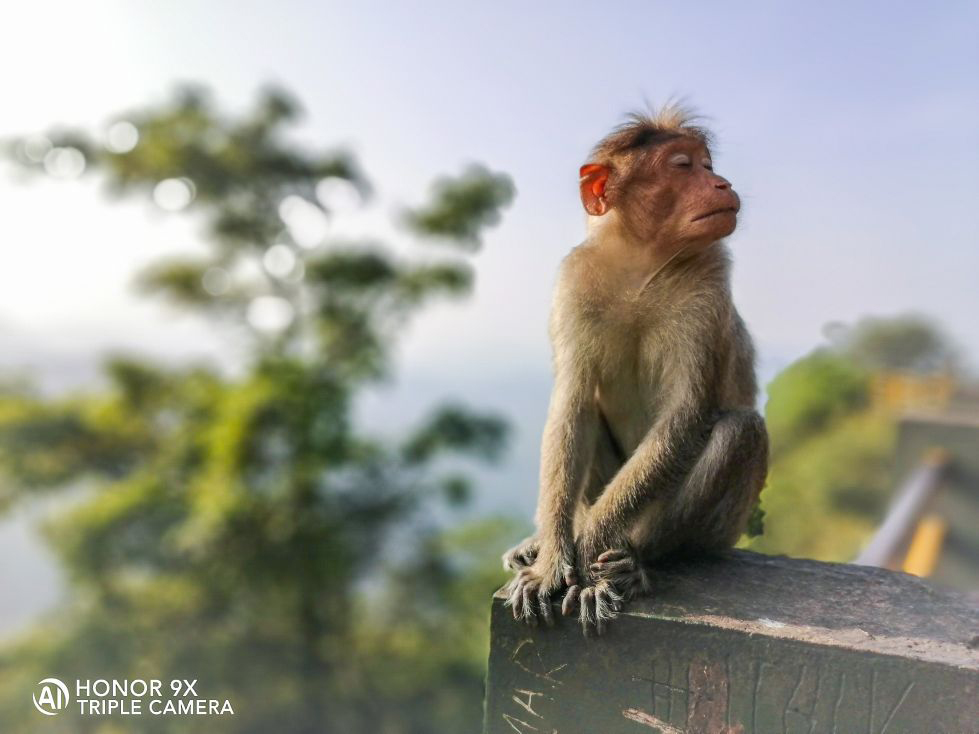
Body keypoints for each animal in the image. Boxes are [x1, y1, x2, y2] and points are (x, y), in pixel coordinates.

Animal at [502, 105, 768, 640]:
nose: (722, 183)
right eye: (684, 166)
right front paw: (552, 560)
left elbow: (684, 416)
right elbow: (572, 403)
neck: (640, 265)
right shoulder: (574, 282)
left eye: (707, 165)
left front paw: (586, 553)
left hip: (724, 530)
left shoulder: (707, 287)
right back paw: (549, 541)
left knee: (739, 431)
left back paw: (634, 563)